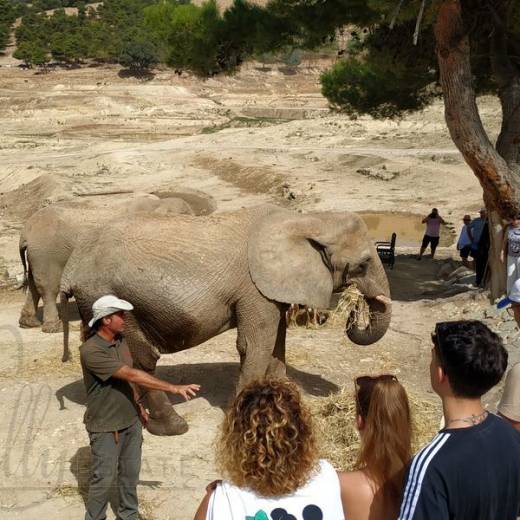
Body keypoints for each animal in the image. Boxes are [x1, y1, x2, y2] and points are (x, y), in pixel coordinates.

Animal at [18, 192, 213, 334]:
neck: (158, 205)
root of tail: (26, 231)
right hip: (47, 254)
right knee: (48, 286)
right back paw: (53, 328)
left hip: (36, 255)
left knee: (33, 283)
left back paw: (29, 323)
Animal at [59, 205, 390, 436]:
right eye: (362, 265)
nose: (355, 306)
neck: (306, 220)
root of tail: (71, 269)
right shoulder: (254, 289)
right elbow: (255, 344)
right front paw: (244, 417)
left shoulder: (270, 290)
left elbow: (276, 342)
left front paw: (285, 401)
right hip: (114, 300)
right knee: (141, 359)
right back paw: (173, 428)